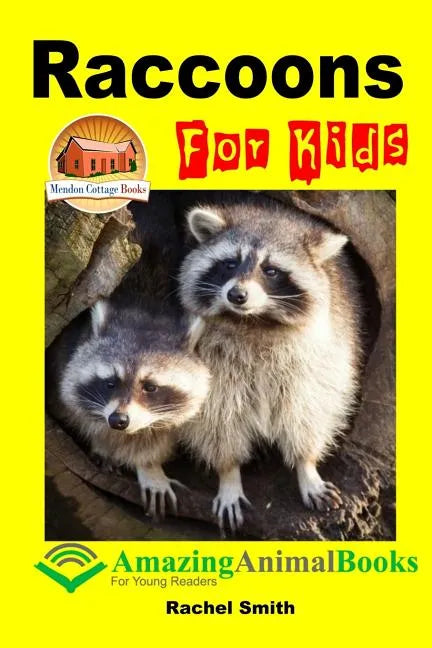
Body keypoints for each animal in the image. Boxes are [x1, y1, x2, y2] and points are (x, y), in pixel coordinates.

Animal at [46, 196, 210, 517]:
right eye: (110, 382)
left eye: (151, 387)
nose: (118, 420)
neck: (145, 307)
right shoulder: (62, 359)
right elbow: (75, 411)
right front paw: (102, 444)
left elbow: (158, 436)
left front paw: (150, 466)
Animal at [179, 196, 363, 530]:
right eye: (230, 263)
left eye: (271, 270)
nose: (237, 294)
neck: (254, 321)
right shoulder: (209, 358)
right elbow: (215, 417)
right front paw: (228, 473)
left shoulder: (323, 353)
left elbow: (310, 410)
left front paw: (307, 465)